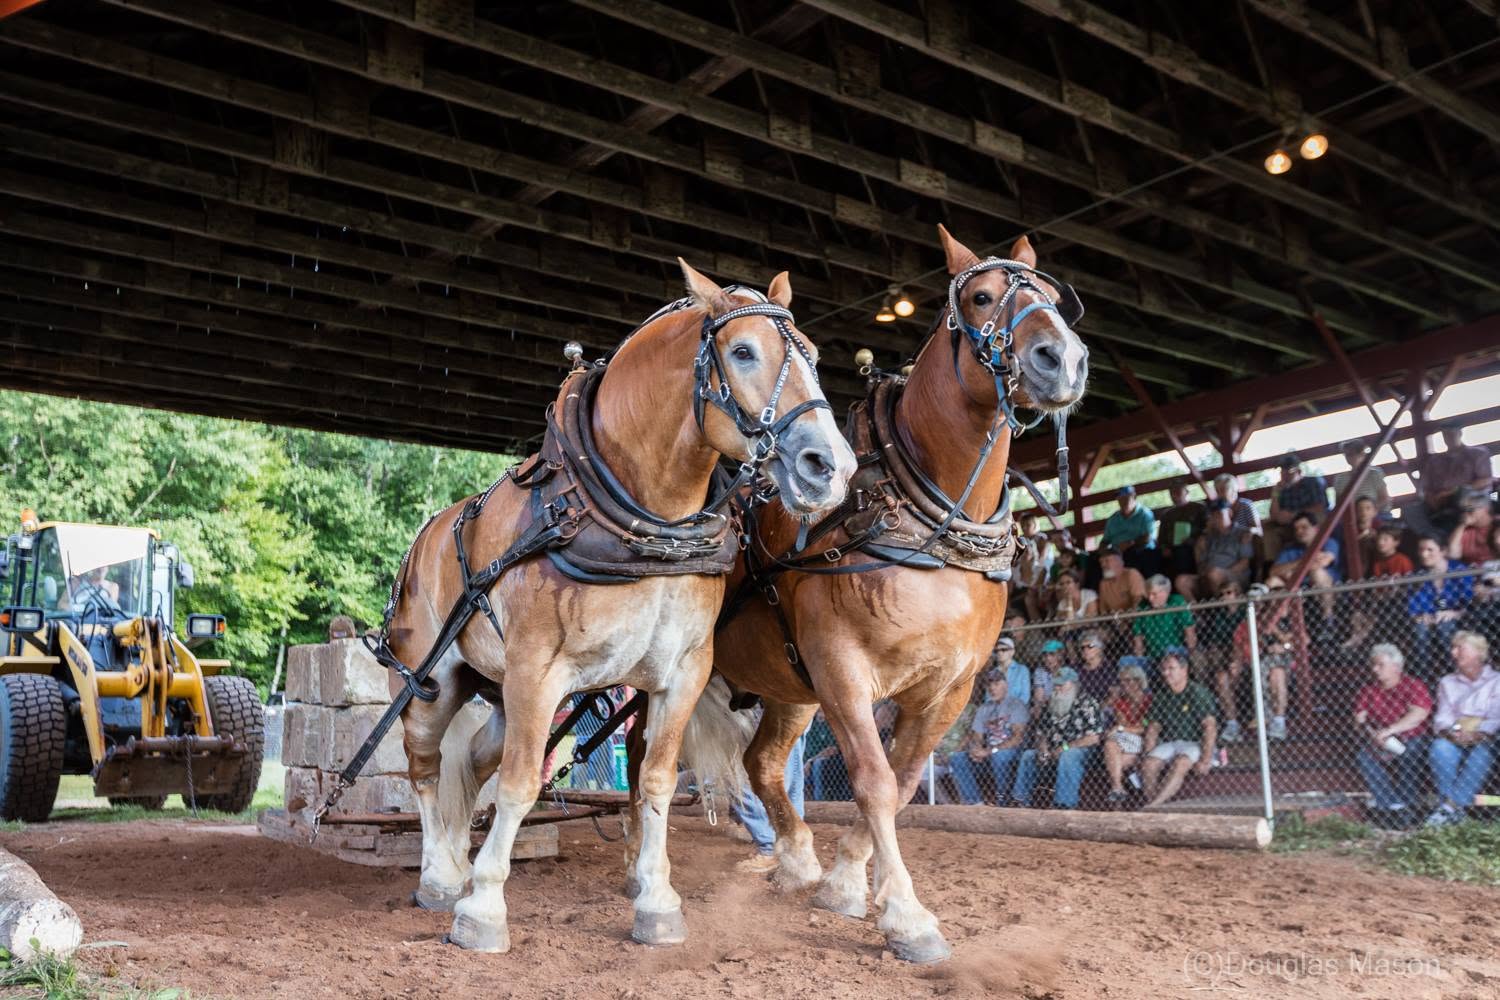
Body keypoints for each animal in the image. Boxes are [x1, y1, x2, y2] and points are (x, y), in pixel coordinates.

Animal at [375, 260, 857, 953]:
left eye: (813, 356)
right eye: (742, 351)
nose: (830, 466)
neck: (641, 521)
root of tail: (426, 538)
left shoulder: (681, 673)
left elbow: (654, 781)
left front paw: (656, 901)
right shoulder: (537, 671)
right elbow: (521, 783)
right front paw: (484, 910)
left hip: (495, 689)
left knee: (469, 763)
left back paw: (460, 860)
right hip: (432, 680)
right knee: (423, 766)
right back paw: (441, 875)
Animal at [675, 226, 1090, 963]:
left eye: (1051, 296)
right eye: (982, 298)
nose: (1062, 359)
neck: (928, 518)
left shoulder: (949, 687)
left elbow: (901, 784)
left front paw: (842, 883)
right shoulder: (842, 668)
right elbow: (871, 778)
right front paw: (905, 916)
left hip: (789, 687)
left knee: (762, 763)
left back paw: (795, 860)